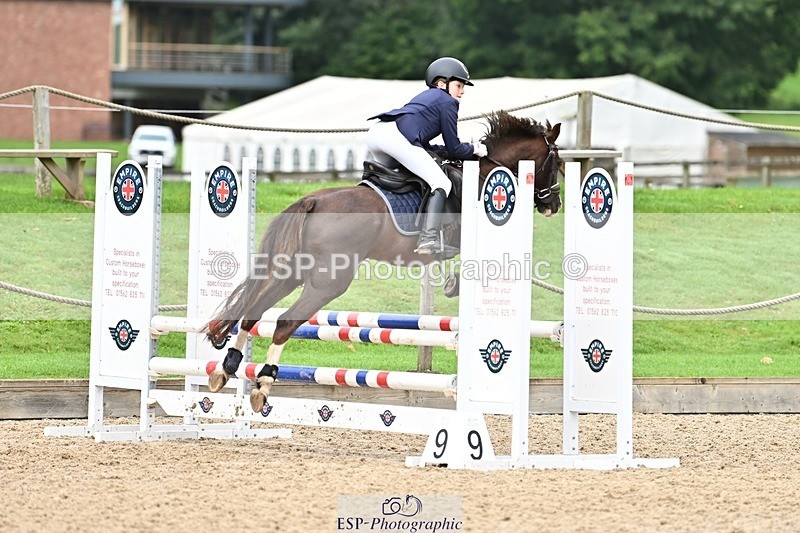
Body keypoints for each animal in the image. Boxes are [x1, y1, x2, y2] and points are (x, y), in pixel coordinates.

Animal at [204, 110, 562, 412]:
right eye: (556, 160)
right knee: (283, 323)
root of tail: (313, 200)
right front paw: (453, 284)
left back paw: (226, 369)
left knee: (253, 311)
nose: (554, 205)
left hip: (292, 272)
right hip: (329, 282)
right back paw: (262, 385)